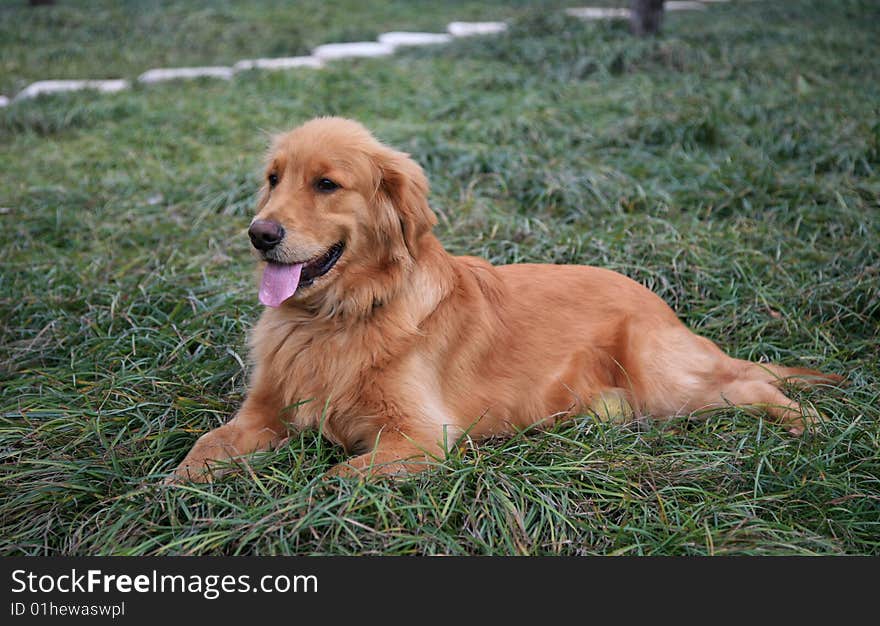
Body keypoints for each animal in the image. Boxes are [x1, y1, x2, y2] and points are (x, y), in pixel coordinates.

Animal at [170, 116, 840, 478]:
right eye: (273, 178)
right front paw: (172, 493)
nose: (259, 234)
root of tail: (656, 298)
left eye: (327, 184)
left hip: (665, 379)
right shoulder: (262, 411)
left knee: (753, 383)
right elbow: (203, 449)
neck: (334, 317)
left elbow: (337, 478)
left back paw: (809, 424)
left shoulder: (419, 438)